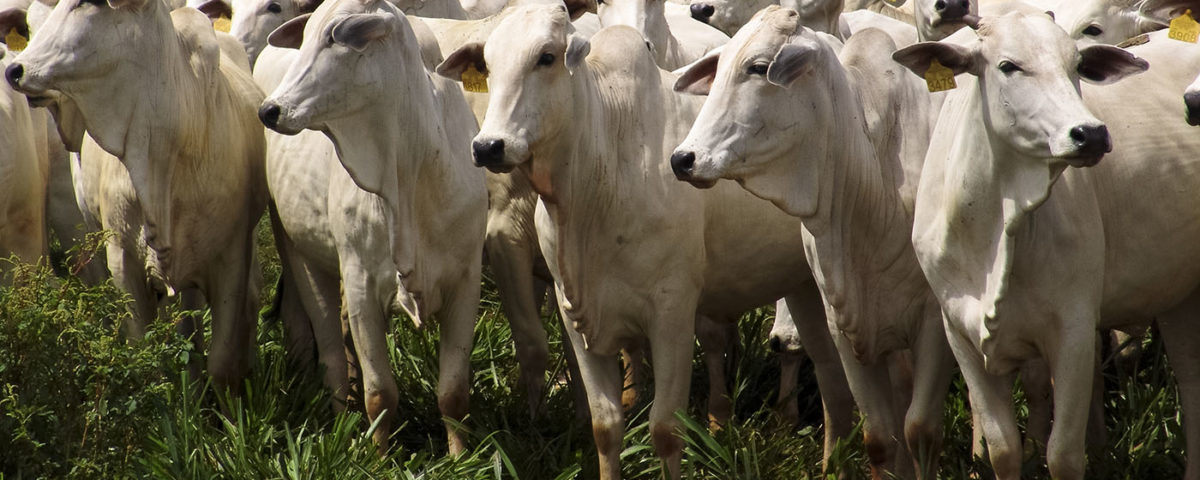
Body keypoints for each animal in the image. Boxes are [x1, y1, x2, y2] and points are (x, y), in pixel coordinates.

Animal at [5, 0, 268, 386]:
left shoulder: (233, 255)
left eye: (86, 5)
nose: (14, 69)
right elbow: (141, 347)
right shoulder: (122, 256)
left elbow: (222, 360)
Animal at [262, 0, 487, 453]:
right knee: (331, 354)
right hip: (301, 256)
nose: (270, 109)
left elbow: (453, 393)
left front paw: (460, 457)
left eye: (335, 36)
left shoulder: (466, 281)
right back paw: (341, 422)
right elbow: (380, 392)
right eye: (306, 36)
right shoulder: (361, 283)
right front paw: (378, 457)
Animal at [436, 6, 859, 475]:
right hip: (804, 287)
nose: (488, 146)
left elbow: (665, 429)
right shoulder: (575, 315)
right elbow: (605, 425)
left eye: (546, 57)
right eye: (488, 66)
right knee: (832, 382)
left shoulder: (672, 314)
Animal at [676, 6, 955, 475]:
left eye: (757, 67)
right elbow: (879, 437)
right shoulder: (843, 323)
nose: (683, 159)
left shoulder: (935, 322)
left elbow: (921, 431)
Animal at [888, 11, 1200, 480]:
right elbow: (1003, 449)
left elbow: (1063, 455)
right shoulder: (960, 334)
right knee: (1192, 384)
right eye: (1008, 66)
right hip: (1179, 294)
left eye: (1076, 65)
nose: (1090, 134)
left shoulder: (1074, 331)